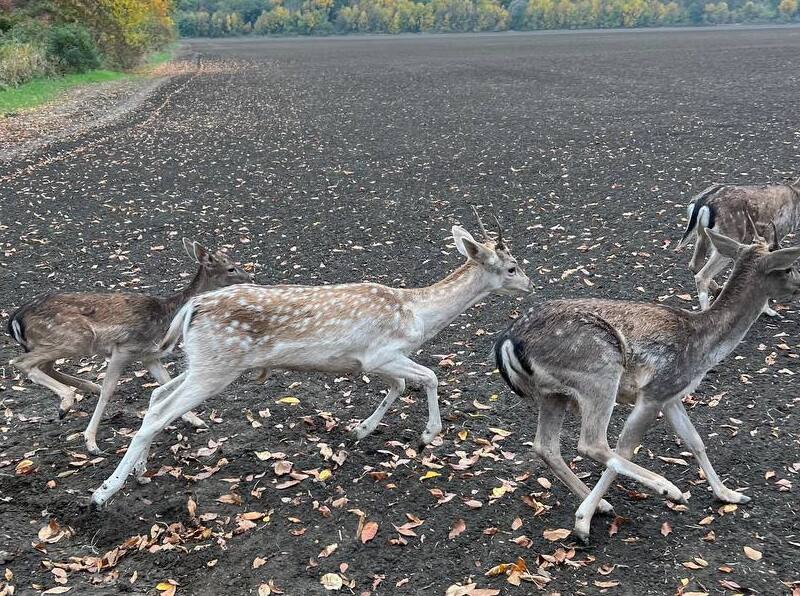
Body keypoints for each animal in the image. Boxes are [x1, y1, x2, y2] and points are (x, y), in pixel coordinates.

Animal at [7, 240, 252, 454]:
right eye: (230, 268)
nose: (249, 277)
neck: (166, 318)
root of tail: (15, 320)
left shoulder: (149, 355)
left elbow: (166, 383)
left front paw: (197, 420)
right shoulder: (124, 349)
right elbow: (109, 391)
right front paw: (91, 442)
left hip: (61, 342)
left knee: (44, 366)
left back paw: (86, 389)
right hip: (74, 337)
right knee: (20, 362)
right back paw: (67, 401)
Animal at [90, 212, 532, 506]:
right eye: (512, 267)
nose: (530, 284)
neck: (417, 315)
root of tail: (193, 306)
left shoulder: (378, 361)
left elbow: (401, 385)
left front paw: (361, 430)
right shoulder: (380, 353)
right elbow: (429, 377)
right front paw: (427, 435)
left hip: (204, 361)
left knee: (156, 398)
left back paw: (140, 472)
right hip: (216, 364)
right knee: (157, 414)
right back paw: (103, 492)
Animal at [494, 226, 800, 544]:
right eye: (788, 267)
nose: (798, 285)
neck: (704, 347)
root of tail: (507, 342)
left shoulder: (672, 394)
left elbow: (695, 441)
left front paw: (730, 494)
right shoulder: (654, 391)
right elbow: (626, 447)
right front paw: (582, 522)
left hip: (554, 393)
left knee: (546, 446)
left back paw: (602, 504)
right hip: (600, 372)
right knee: (592, 443)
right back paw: (666, 489)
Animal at [676, 179, 800, 314]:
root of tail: (701, 203)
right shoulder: (774, 233)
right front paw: (767, 309)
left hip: (702, 234)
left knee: (694, 264)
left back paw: (718, 291)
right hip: (730, 235)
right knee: (702, 275)